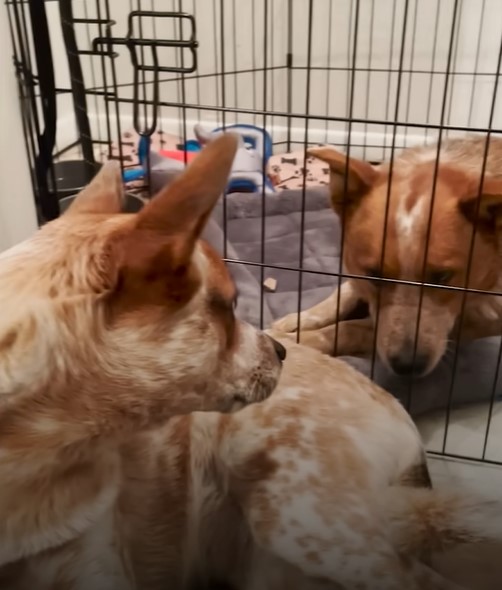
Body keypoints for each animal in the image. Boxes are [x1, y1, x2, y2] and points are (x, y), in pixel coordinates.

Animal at [272, 136, 502, 376]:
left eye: (443, 277)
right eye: (374, 274)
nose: (408, 365)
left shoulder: (479, 322)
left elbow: (351, 328)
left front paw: (295, 341)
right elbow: (343, 292)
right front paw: (299, 320)